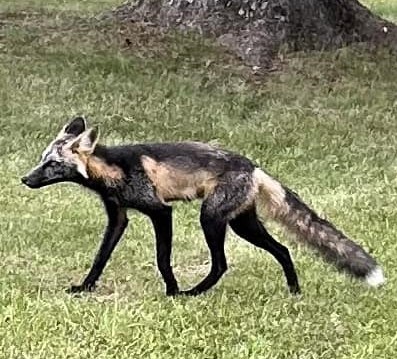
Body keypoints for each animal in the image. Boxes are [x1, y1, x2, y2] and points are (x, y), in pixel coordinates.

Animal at [20, 116, 384, 296]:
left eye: (52, 164)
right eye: (42, 160)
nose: (25, 179)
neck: (115, 170)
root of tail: (253, 166)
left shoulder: (160, 211)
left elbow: (163, 259)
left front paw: (171, 290)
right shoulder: (118, 217)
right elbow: (100, 258)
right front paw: (85, 287)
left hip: (210, 219)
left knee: (222, 264)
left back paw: (193, 293)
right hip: (242, 224)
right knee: (283, 249)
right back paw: (294, 290)